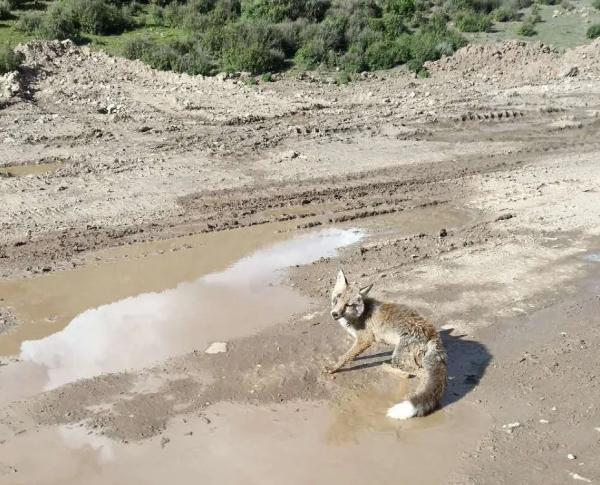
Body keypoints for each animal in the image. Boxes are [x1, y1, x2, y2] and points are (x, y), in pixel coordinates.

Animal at [326, 268, 448, 420]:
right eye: (337, 298)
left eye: (348, 304)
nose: (334, 314)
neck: (359, 314)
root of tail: (432, 332)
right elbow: (350, 356)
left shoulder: (365, 340)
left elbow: (345, 357)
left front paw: (333, 368)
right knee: (414, 372)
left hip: (398, 358)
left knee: (419, 374)